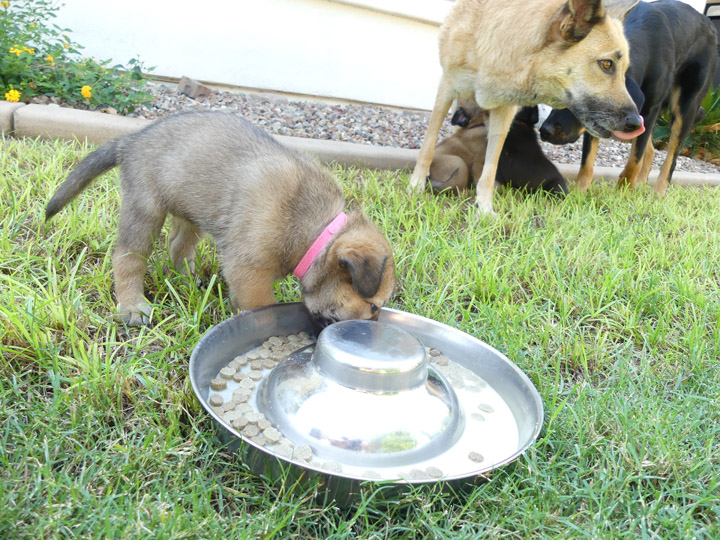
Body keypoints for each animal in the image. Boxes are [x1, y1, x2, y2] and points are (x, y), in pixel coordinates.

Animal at [45, 112, 396, 326]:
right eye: (374, 306)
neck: (315, 233)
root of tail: (132, 140)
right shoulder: (250, 271)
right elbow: (261, 308)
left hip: (193, 212)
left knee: (177, 246)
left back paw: (188, 281)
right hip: (145, 208)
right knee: (127, 257)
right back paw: (132, 306)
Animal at [540, 0, 716, 193]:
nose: (544, 132)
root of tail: (709, 23)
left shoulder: (649, 109)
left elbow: (634, 160)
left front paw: (623, 190)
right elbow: (587, 160)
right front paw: (580, 191)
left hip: (685, 107)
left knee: (671, 157)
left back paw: (658, 192)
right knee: (651, 151)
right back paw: (641, 185)